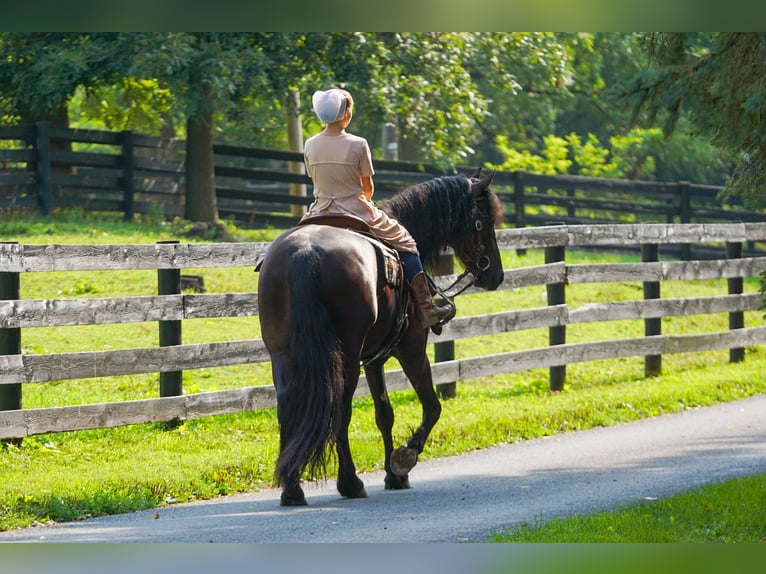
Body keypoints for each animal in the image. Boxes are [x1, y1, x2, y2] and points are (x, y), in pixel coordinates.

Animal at [256, 169, 505, 506]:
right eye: (485, 221)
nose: (496, 275)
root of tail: (305, 251)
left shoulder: (374, 361)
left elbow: (384, 414)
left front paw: (393, 475)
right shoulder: (412, 350)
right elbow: (432, 407)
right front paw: (404, 458)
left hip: (282, 355)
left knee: (288, 408)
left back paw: (292, 488)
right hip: (347, 358)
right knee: (341, 410)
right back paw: (350, 482)